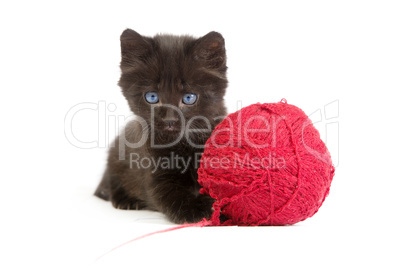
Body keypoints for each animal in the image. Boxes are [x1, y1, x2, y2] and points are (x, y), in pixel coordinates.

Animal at [93, 28, 226, 224]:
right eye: (152, 97)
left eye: (189, 98)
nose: (169, 120)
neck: (183, 144)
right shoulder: (157, 176)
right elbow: (172, 196)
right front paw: (198, 210)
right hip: (116, 159)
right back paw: (126, 200)